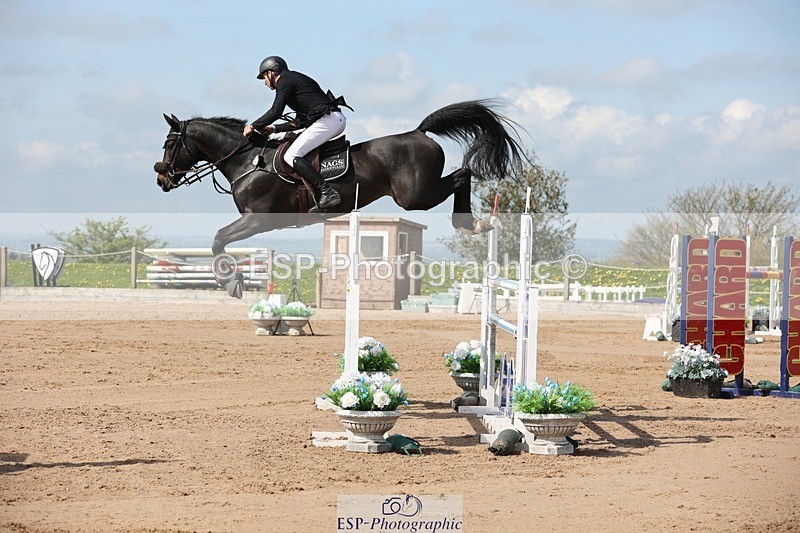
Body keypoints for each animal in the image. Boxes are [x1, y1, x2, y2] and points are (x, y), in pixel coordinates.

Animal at [153, 99, 526, 298]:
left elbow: (218, 239)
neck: (247, 159)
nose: (161, 178)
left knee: (463, 174)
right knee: (462, 174)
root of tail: (420, 132)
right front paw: (231, 280)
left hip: (415, 196)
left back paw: (471, 223)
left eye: (170, 144)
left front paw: (229, 282)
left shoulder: (257, 220)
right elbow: (219, 239)